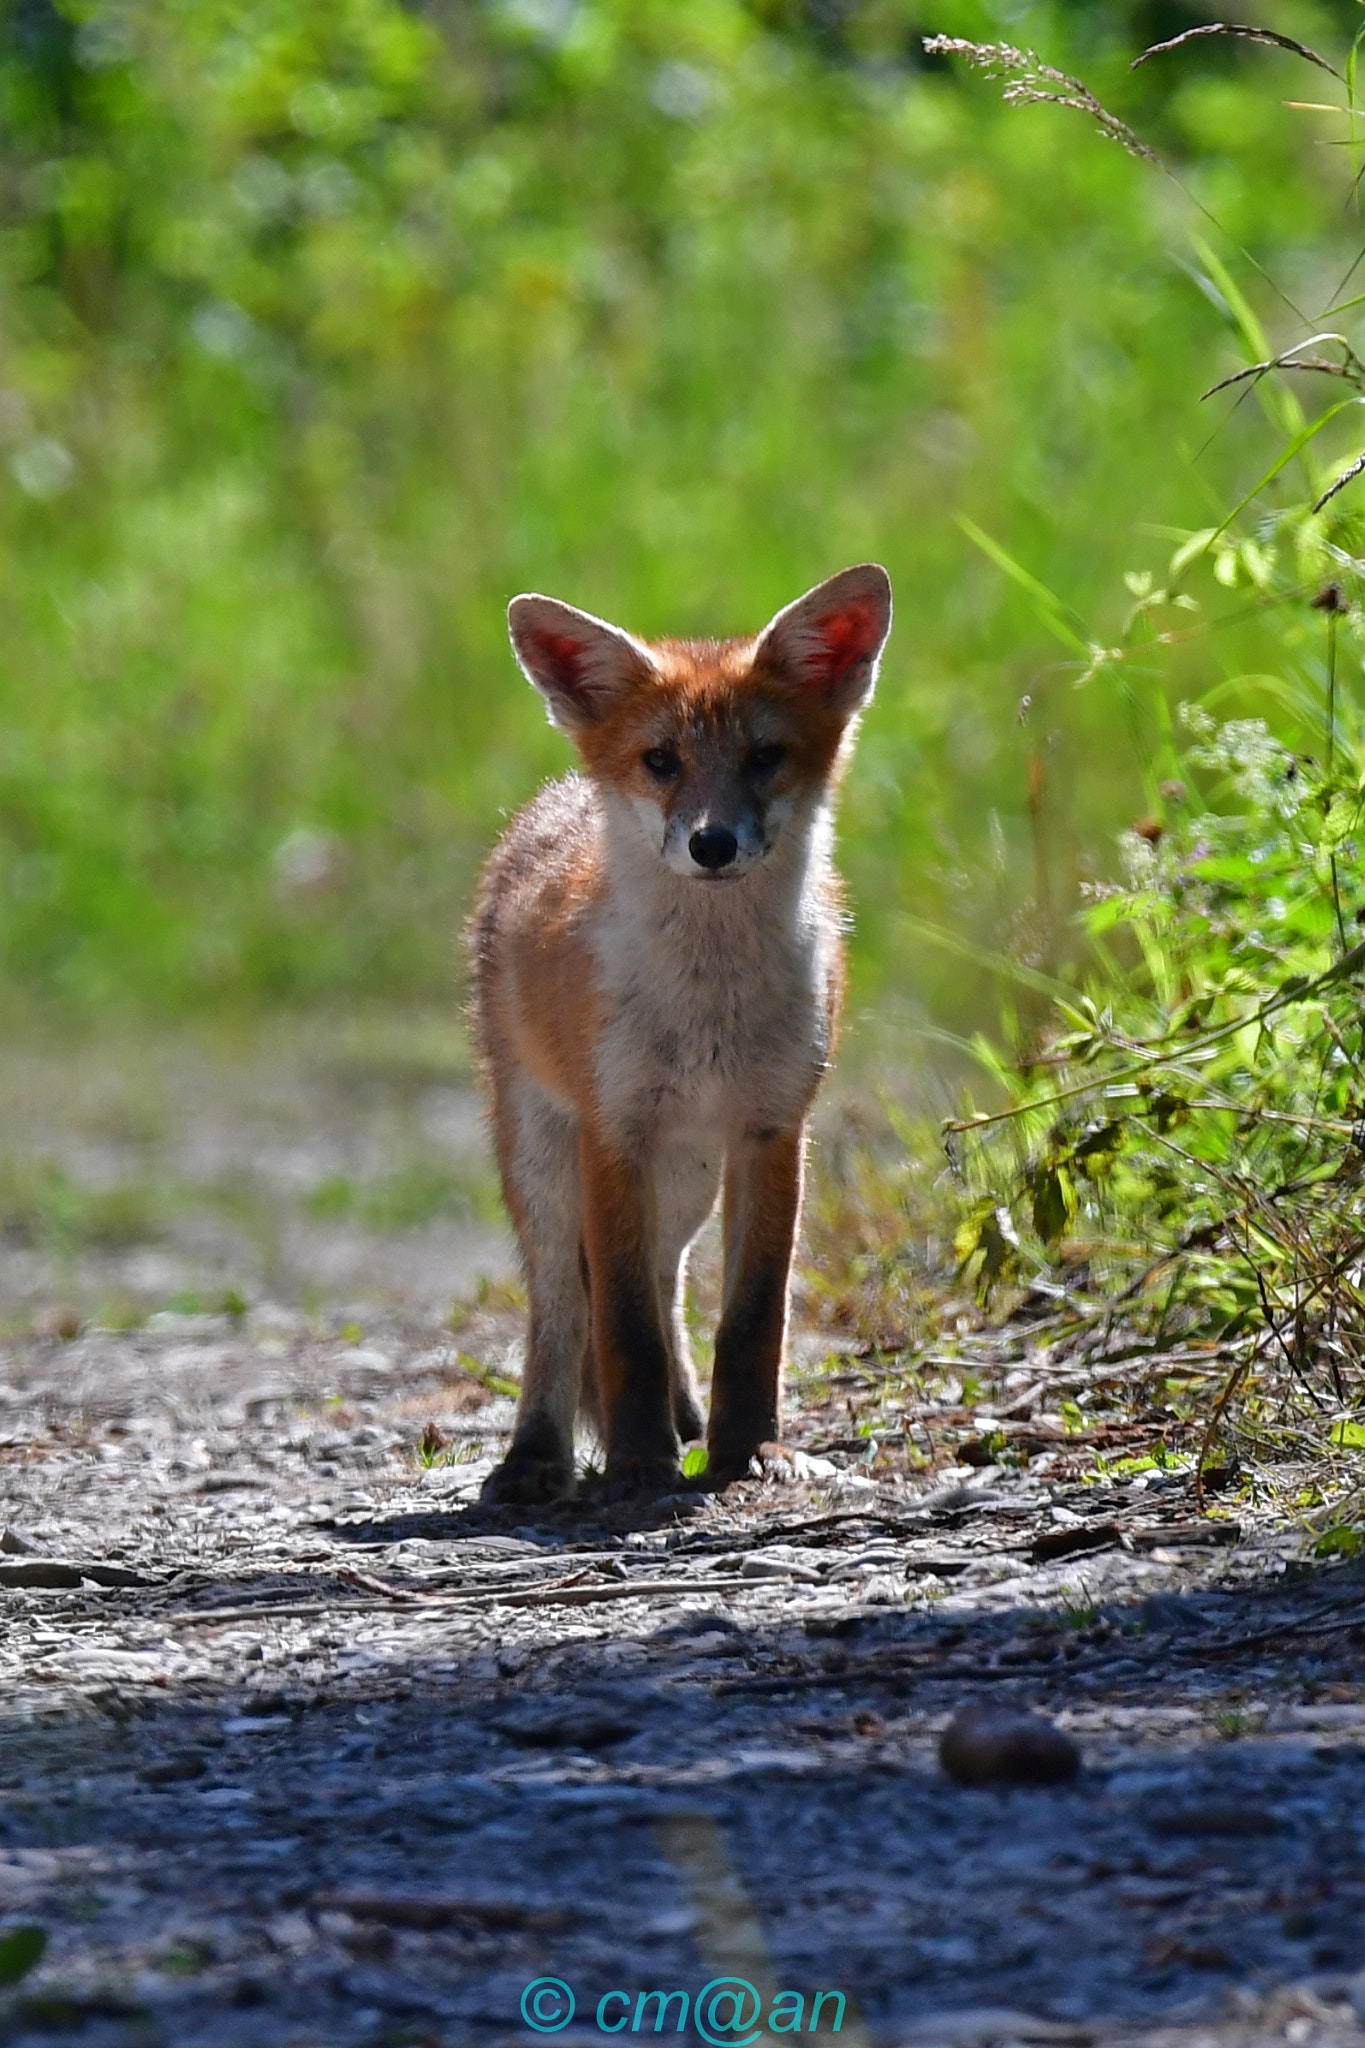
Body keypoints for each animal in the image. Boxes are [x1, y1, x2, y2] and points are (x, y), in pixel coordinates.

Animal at [468, 563, 893, 1503]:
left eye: (763, 757)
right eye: (660, 762)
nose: (712, 843)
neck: (709, 1008)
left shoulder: (770, 1128)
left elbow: (750, 1321)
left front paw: (748, 1450)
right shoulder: (615, 1130)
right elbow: (622, 1329)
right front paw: (637, 1464)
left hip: (687, 1177)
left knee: (666, 1288)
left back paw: (688, 1421)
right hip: (547, 1164)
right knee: (563, 1310)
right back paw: (537, 1458)